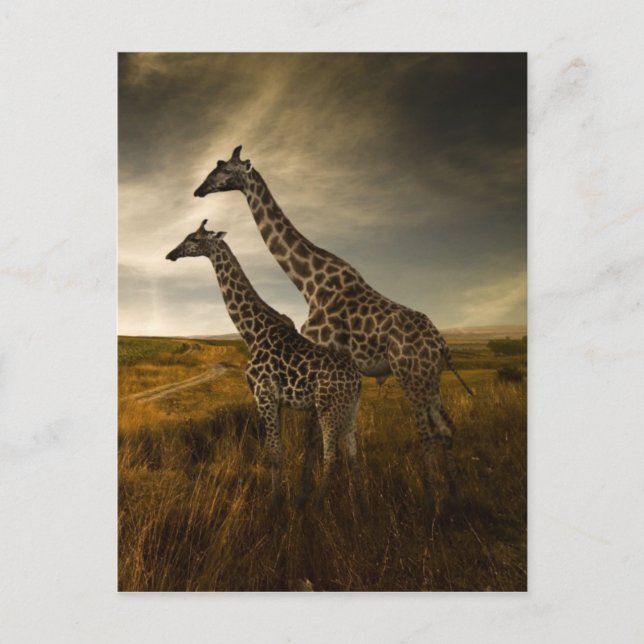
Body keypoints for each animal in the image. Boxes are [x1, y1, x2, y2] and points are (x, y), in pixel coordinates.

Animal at [166, 219, 365, 512]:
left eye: (194, 238)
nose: (171, 254)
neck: (252, 331)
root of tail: (357, 379)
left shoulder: (264, 394)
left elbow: (273, 453)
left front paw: (274, 505)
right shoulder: (276, 400)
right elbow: (277, 450)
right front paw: (278, 500)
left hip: (328, 407)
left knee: (332, 457)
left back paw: (316, 505)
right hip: (349, 409)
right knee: (352, 455)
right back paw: (359, 502)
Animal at [194, 146, 474, 512]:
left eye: (223, 169)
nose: (199, 190)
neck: (308, 281)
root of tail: (442, 345)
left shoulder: (323, 354)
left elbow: (314, 437)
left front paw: (305, 497)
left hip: (410, 374)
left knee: (426, 431)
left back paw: (429, 500)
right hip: (430, 378)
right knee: (446, 427)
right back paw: (454, 496)